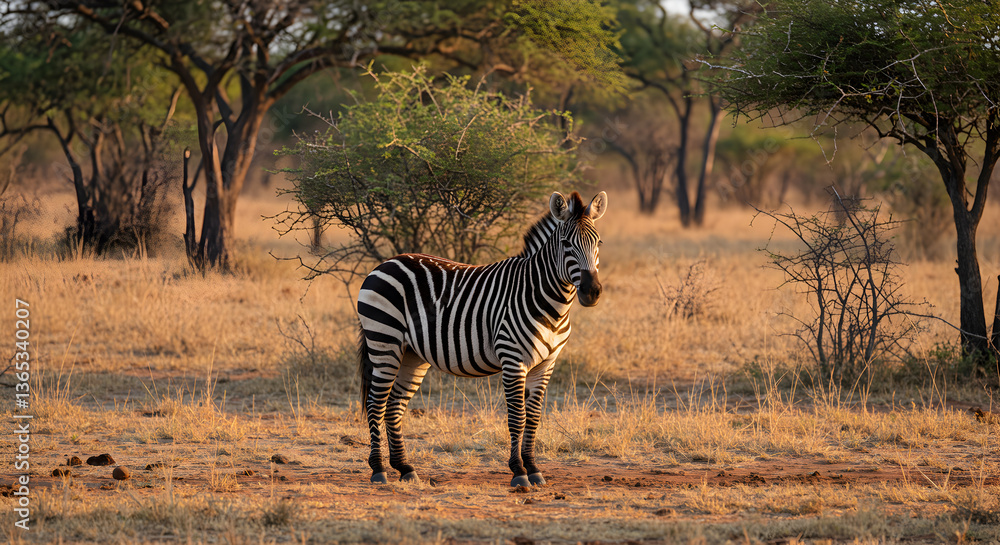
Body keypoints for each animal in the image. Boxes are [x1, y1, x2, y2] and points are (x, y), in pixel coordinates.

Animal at [357, 191, 607, 487]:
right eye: (566, 243)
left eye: (598, 242)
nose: (592, 292)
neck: (547, 302)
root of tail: (386, 263)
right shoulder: (513, 360)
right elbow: (517, 417)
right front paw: (519, 472)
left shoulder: (547, 364)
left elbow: (534, 417)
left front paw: (534, 469)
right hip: (384, 341)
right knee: (376, 404)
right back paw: (378, 470)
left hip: (412, 355)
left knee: (394, 405)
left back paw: (405, 468)